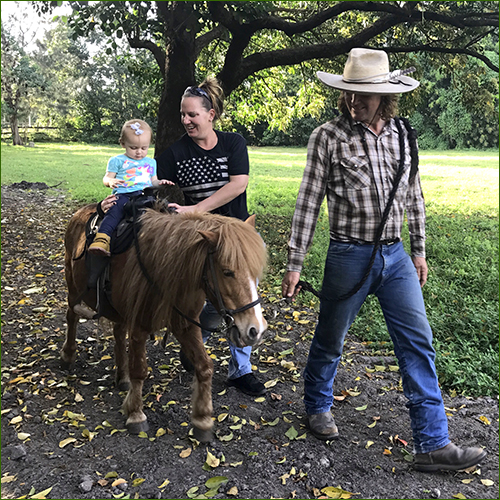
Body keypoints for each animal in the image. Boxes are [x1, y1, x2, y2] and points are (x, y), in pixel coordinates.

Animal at [63, 204, 270, 442]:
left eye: (255, 273)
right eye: (227, 272)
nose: (255, 330)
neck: (168, 269)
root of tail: (81, 212)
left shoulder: (186, 325)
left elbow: (205, 366)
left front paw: (203, 419)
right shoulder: (139, 327)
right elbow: (139, 370)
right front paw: (136, 414)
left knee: (118, 333)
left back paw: (122, 377)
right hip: (73, 288)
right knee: (72, 316)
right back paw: (68, 355)